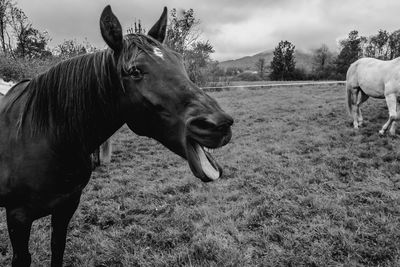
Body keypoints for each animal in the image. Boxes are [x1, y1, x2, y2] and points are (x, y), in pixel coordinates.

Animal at [0, 5, 231, 266]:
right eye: (135, 71)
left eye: (179, 61)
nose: (219, 124)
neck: (45, 138)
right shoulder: (18, 217)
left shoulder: (66, 207)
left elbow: (57, 248)